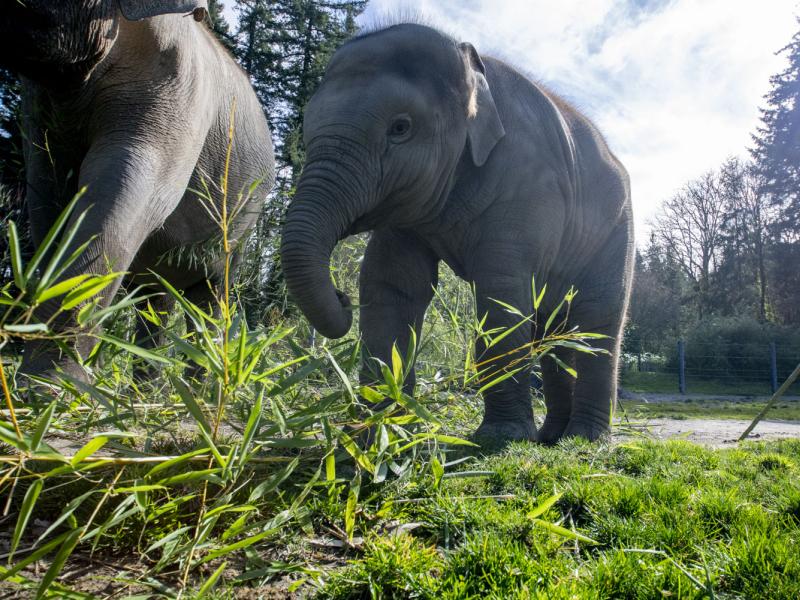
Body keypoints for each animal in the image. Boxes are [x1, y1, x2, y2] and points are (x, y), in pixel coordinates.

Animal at [0, 1, 275, 381]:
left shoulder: (175, 93)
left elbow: (122, 201)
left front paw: (49, 386)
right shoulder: (40, 110)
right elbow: (48, 199)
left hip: (239, 230)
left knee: (210, 296)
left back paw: (201, 384)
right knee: (156, 299)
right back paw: (145, 386)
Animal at [281, 23, 634, 446]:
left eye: (400, 127)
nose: (341, 295)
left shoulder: (528, 185)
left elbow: (501, 291)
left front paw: (501, 438)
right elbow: (392, 285)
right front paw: (376, 434)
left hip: (617, 231)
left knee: (597, 320)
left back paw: (585, 439)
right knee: (556, 330)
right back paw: (553, 437)